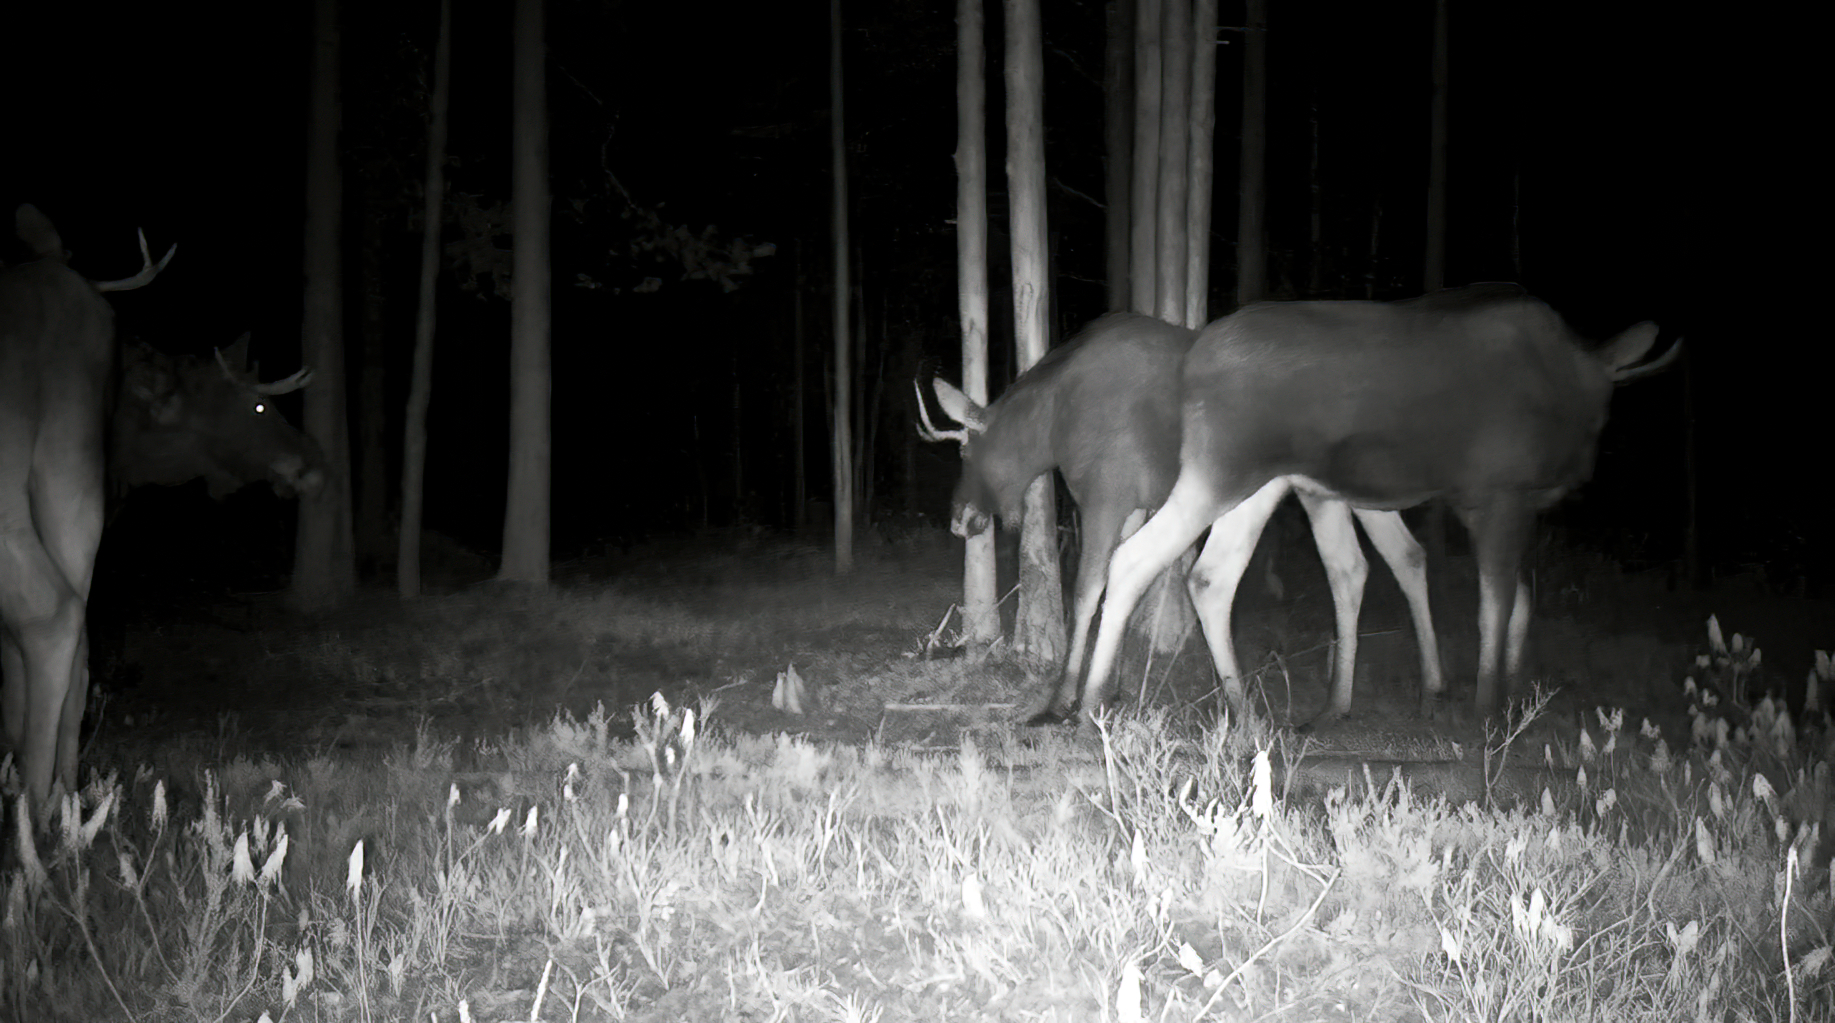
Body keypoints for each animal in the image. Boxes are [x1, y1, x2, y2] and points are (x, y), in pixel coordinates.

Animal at [917, 312, 1445, 727]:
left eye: (964, 451)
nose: (959, 519)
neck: (1052, 426)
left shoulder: (1105, 499)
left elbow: (1087, 593)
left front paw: (1065, 700)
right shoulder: (1134, 505)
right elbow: (1120, 590)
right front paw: (1110, 689)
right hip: (1352, 490)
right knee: (1395, 558)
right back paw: (1414, 693)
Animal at [1064, 284, 1680, 716]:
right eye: (1607, 407)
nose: (1581, 473)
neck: (1574, 377)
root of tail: (1191, 356)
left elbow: (1504, 594)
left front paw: (1491, 684)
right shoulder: (1501, 495)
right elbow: (1495, 604)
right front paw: (1488, 705)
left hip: (1258, 484)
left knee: (1210, 575)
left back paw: (1241, 710)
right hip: (1221, 474)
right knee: (1135, 558)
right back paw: (1092, 700)